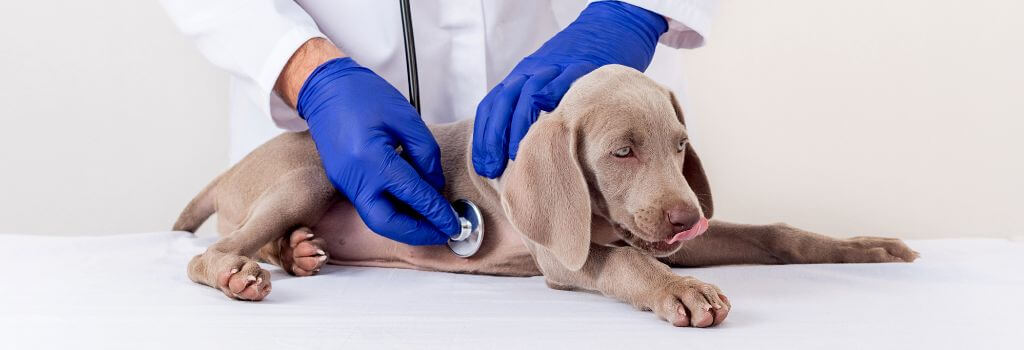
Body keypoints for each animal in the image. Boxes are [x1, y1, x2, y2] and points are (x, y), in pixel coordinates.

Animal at [172, 64, 917, 327]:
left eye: (681, 146)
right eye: (622, 151)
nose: (686, 219)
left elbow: (775, 233)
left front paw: (866, 246)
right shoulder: (566, 257)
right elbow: (623, 261)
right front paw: (680, 291)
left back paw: (299, 252)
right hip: (315, 171)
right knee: (210, 252)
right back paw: (241, 273)